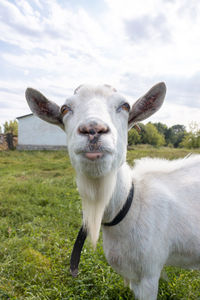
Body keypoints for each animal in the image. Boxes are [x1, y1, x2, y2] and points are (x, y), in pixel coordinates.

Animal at [25, 82, 200, 300]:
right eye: (65, 109)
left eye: (125, 106)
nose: (93, 129)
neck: (130, 204)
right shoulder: (134, 276)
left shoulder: (149, 273)